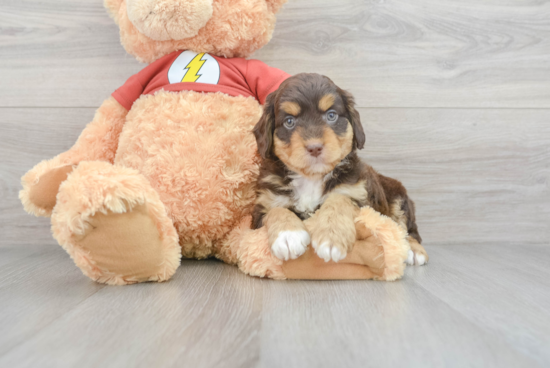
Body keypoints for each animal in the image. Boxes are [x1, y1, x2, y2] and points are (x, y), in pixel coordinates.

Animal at [252, 73, 430, 266]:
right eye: (289, 121)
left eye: (331, 115)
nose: (314, 147)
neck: (312, 178)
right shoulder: (263, 206)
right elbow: (276, 209)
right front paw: (288, 236)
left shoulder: (360, 199)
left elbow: (339, 199)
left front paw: (332, 237)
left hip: (399, 199)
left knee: (408, 229)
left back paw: (414, 250)